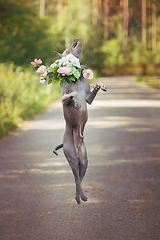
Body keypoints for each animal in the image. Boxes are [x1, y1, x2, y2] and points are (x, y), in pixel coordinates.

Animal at [53, 38, 107, 203]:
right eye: (69, 48)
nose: (76, 39)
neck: (75, 77)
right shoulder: (63, 98)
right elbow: (72, 95)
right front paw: (76, 101)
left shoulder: (88, 98)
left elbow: (92, 90)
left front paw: (100, 84)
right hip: (71, 156)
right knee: (76, 177)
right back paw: (80, 196)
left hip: (84, 159)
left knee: (79, 178)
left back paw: (80, 196)